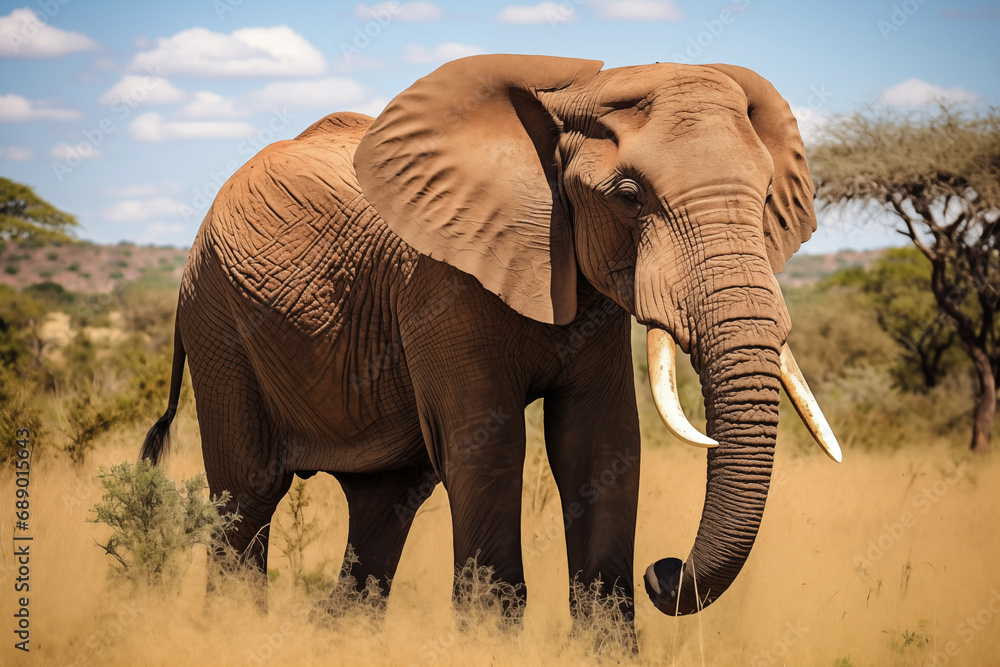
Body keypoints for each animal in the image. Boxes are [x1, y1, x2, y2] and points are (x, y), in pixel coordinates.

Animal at [141, 54, 840, 632]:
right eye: (630, 197)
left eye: (766, 196)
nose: (662, 573)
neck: (568, 99)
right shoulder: (437, 281)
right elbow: (488, 447)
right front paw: (488, 640)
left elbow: (600, 445)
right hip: (217, 321)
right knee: (248, 491)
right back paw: (235, 627)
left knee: (385, 499)